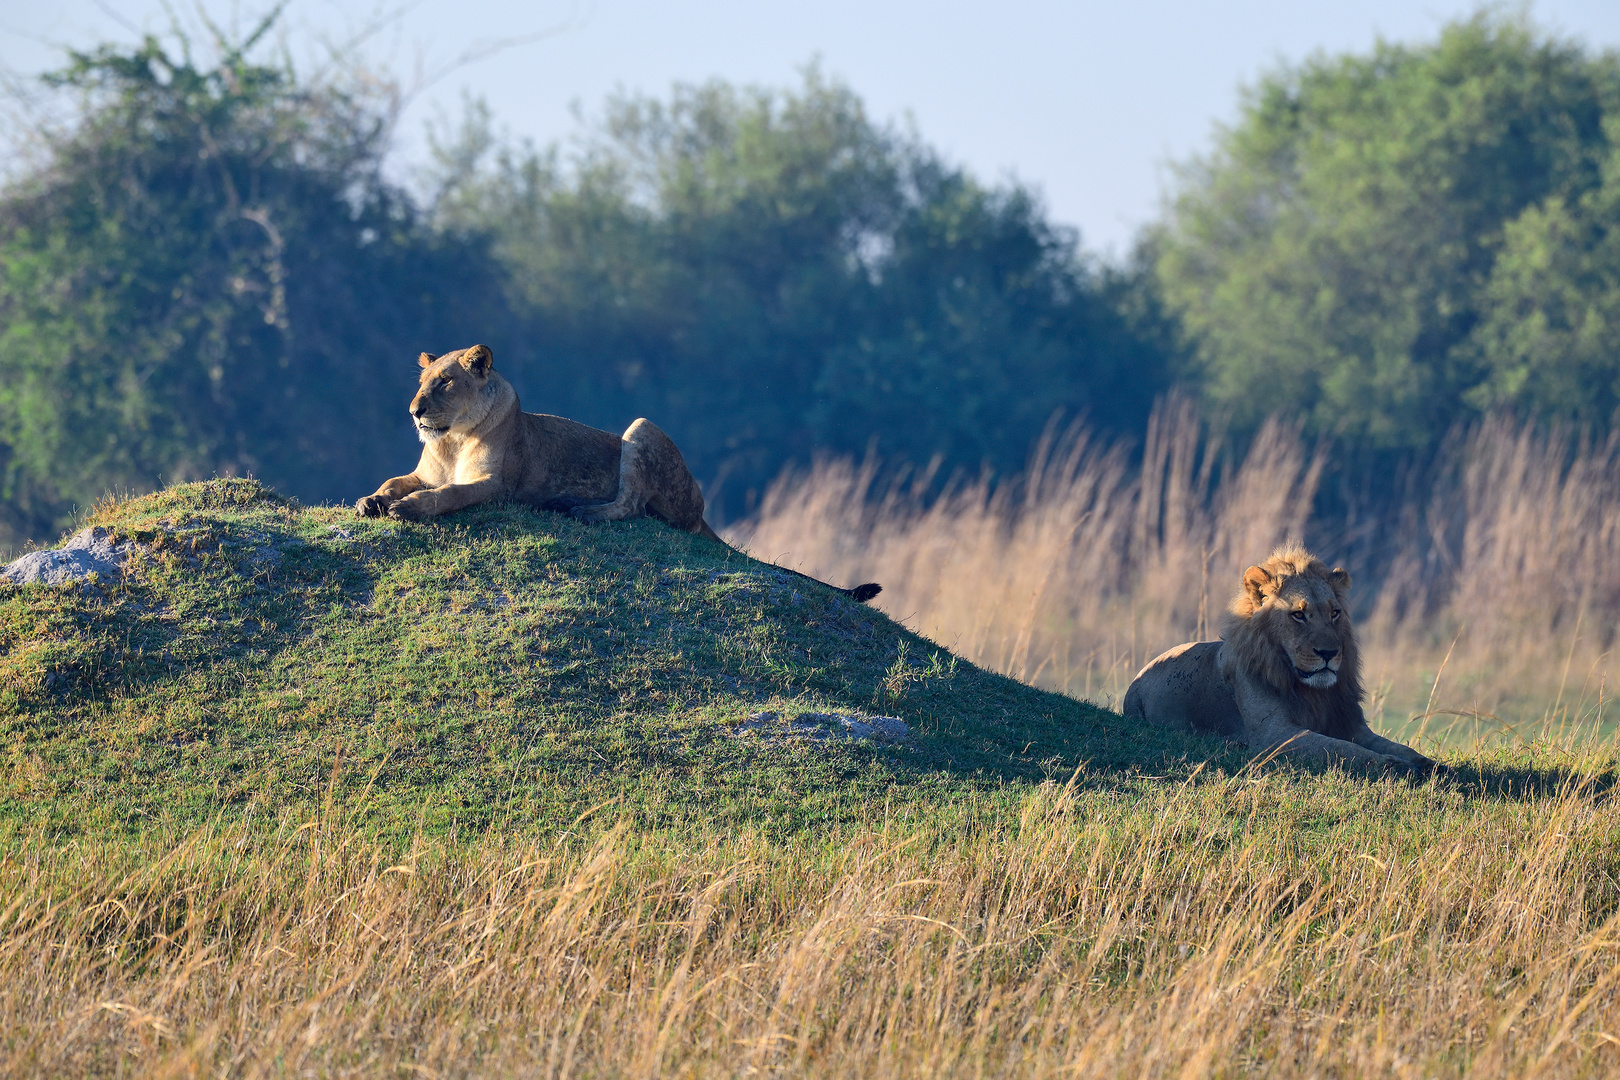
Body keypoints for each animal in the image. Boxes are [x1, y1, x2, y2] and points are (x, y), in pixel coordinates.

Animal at [359, 344, 881, 605]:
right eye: (422, 383)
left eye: (445, 382)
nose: (414, 411)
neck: (451, 439)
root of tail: (700, 509)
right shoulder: (424, 472)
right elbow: (394, 482)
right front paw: (372, 501)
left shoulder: (493, 486)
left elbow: (446, 497)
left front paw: (406, 510)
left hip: (642, 428)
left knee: (631, 507)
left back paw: (576, 511)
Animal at [1127, 550, 1445, 777]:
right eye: (1299, 615)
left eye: (1334, 613)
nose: (1329, 652)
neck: (1312, 692)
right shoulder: (1275, 735)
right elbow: (1344, 750)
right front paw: (1396, 767)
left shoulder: (1353, 726)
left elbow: (1393, 746)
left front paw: (1434, 766)